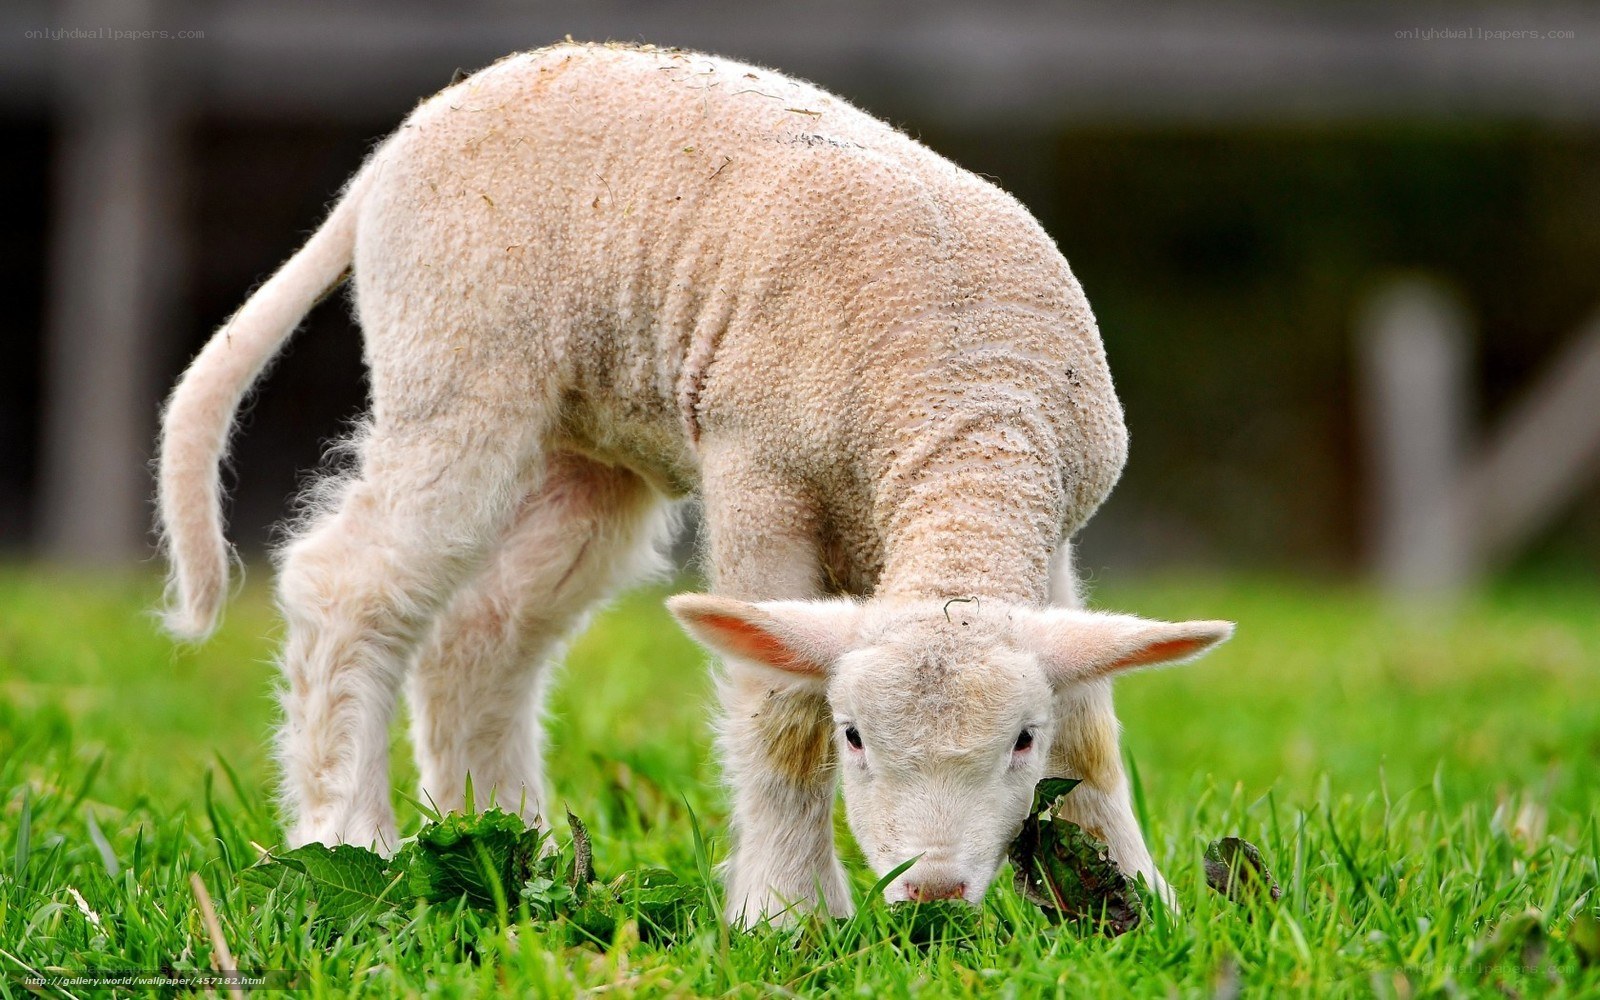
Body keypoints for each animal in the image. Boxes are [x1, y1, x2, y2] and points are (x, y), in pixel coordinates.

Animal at [156, 41, 1234, 927]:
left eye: (1018, 740)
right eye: (854, 736)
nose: (930, 892)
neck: (959, 409)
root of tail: (393, 150)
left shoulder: (1052, 534)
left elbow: (1090, 735)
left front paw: (1134, 904)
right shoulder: (760, 475)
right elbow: (779, 712)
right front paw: (791, 918)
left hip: (588, 448)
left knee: (484, 633)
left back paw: (506, 850)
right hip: (458, 364)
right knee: (349, 584)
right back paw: (352, 840)